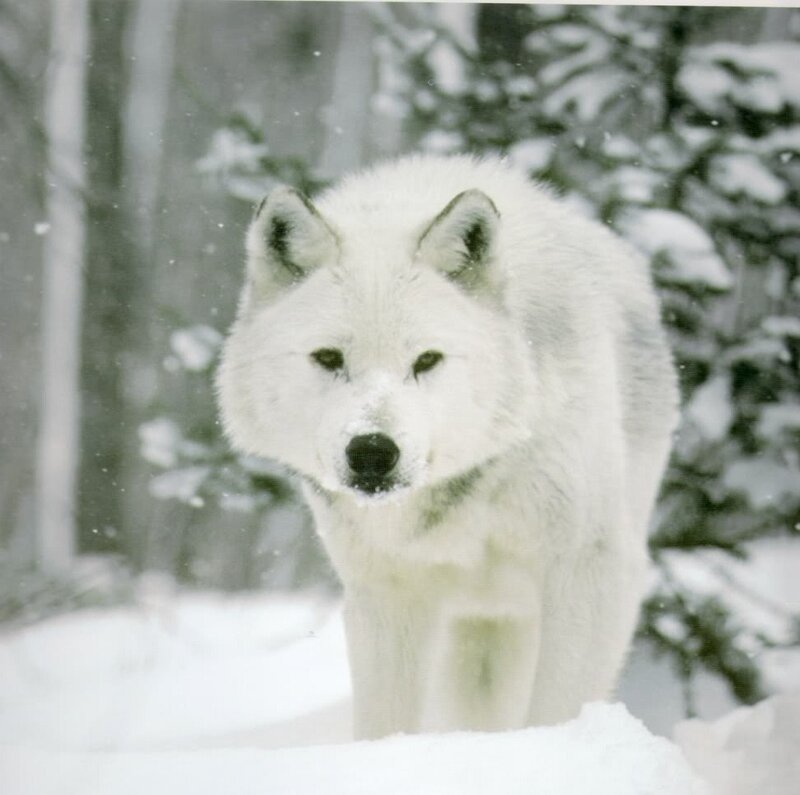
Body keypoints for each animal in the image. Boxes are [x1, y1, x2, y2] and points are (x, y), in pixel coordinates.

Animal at [217, 155, 679, 739]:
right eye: (328, 358)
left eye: (427, 360)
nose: (372, 452)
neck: (473, 480)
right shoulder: (384, 593)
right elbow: (384, 725)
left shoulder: (591, 570)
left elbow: (558, 710)